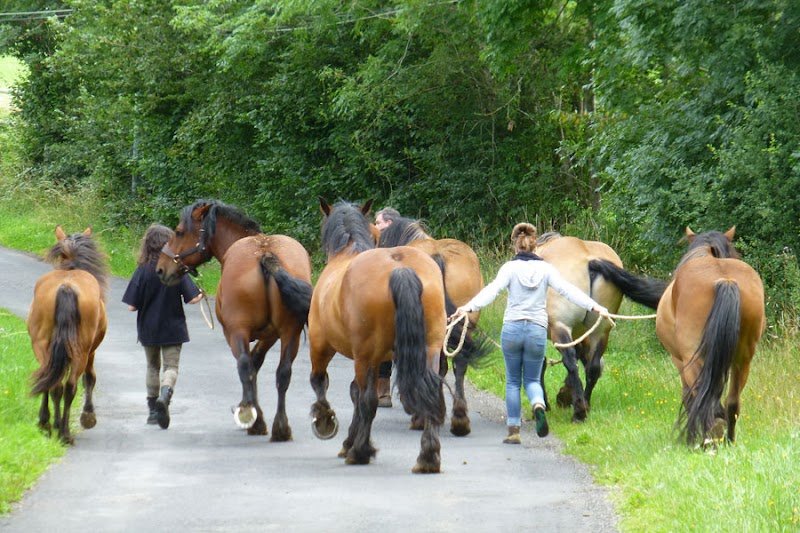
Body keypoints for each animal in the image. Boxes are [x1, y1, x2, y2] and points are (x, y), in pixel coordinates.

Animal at [27, 226, 108, 444]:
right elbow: (90, 379)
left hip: (43, 346)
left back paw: (51, 426)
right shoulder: (92, 352)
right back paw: (62, 431)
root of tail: (66, 286)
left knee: (53, 383)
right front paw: (88, 416)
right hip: (80, 351)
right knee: (69, 385)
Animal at [155, 199, 313, 440]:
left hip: (238, 332)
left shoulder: (235, 334)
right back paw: (281, 428)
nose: (161, 269)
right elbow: (258, 363)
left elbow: (249, 367)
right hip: (290, 333)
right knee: (283, 373)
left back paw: (254, 420)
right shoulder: (271, 335)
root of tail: (265, 255)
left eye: (180, 232)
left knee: (244, 367)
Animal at [309, 198, 447, 473]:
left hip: (363, 356)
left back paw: (359, 452)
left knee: (367, 400)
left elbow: (322, 383)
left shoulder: (322, 345)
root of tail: (400, 267)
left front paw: (327, 423)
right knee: (431, 392)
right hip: (429, 350)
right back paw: (428, 457)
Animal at [535, 232, 624, 422]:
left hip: (560, 327)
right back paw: (585, 404)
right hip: (601, 331)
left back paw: (579, 412)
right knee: (592, 366)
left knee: (570, 362)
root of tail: (590, 261)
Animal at [589, 227, 766, 446]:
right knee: (732, 403)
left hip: (693, 359)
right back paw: (727, 441)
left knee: (704, 400)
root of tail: (725, 280)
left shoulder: (679, 360)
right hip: (743, 360)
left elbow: (688, 398)